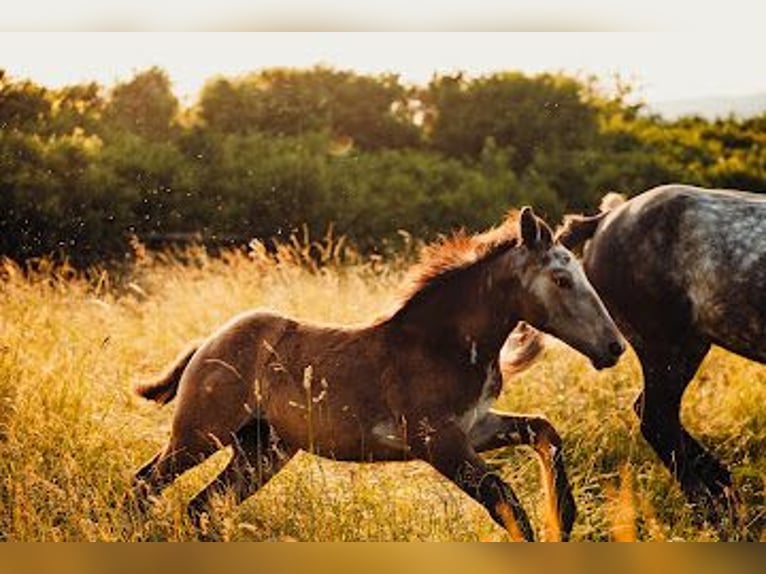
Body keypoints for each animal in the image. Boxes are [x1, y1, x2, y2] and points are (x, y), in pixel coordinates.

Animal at [132, 207, 625, 541]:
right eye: (561, 279)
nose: (614, 347)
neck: (440, 345)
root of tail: (208, 343)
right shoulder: (438, 441)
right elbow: (504, 497)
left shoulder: (476, 426)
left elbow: (544, 431)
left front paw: (565, 517)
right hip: (199, 435)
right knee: (146, 484)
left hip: (260, 452)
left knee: (200, 506)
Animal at [557, 184, 766, 521]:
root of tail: (605, 219)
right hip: (664, 347)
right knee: (656, 419)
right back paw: (712, 510)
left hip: (687, 347)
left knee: (655, 415)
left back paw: (723, 492)